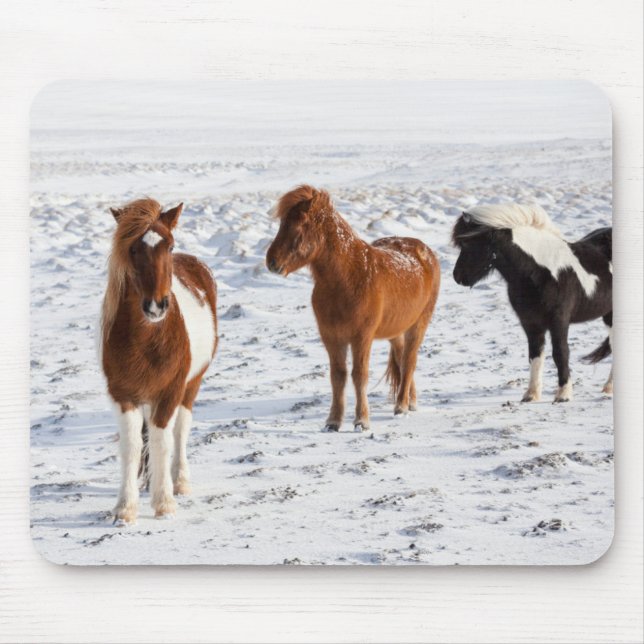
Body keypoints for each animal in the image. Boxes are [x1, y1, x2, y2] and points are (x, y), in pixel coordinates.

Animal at [100, 198, 218, 523]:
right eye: (132, 249)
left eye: (170, 245)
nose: (156, 305)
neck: (146, 339)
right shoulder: (123, 395)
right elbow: (132, 446)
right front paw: (125, 508)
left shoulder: (169, 393)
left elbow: (162, 441)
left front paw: (164, 502)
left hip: (191, 386)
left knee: (180, 430)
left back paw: (179, 481)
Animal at [266, 185, 441, 431]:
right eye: (282, 224)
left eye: (298, 226)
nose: (271, 262)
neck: (348, 278)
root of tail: (425, 251)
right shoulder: (331, 337)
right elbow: (338, 376)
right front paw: (333, 421)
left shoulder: (361, 337)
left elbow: (359, 375)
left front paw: (361, 421)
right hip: (396, 331)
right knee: (402, 359)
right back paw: (410, 402)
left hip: (418, 325)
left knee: (409, 361)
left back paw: (401, 406)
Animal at [451, 202, 612, 402]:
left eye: (467, 243)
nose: (458, 277)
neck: (540, 272)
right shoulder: (531, 323)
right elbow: (535, 355)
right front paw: (531, 395)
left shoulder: (559, 320)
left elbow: (561, 353)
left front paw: (563, 394)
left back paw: (609, 387)